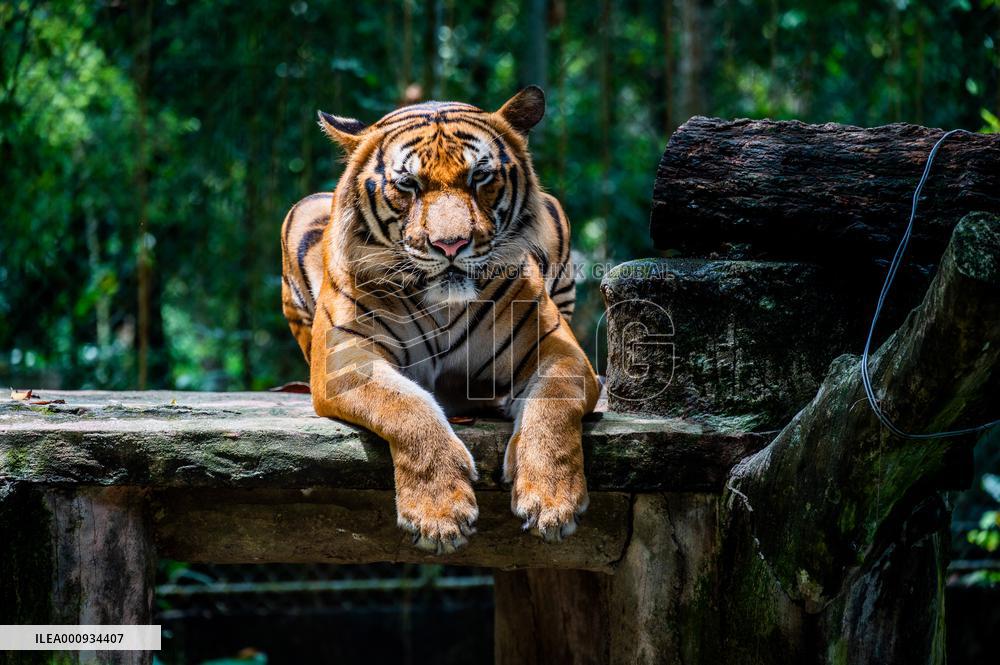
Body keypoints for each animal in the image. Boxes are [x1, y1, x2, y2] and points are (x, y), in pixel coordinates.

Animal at [280, 86, 599, 554]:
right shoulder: (345, 359)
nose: (451, 245)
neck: (442, 306)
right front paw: (439, 514)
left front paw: (551, 501)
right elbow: (404, 405)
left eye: (480, 177)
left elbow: (555, 402)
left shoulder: (559, 348)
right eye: (408, 184)